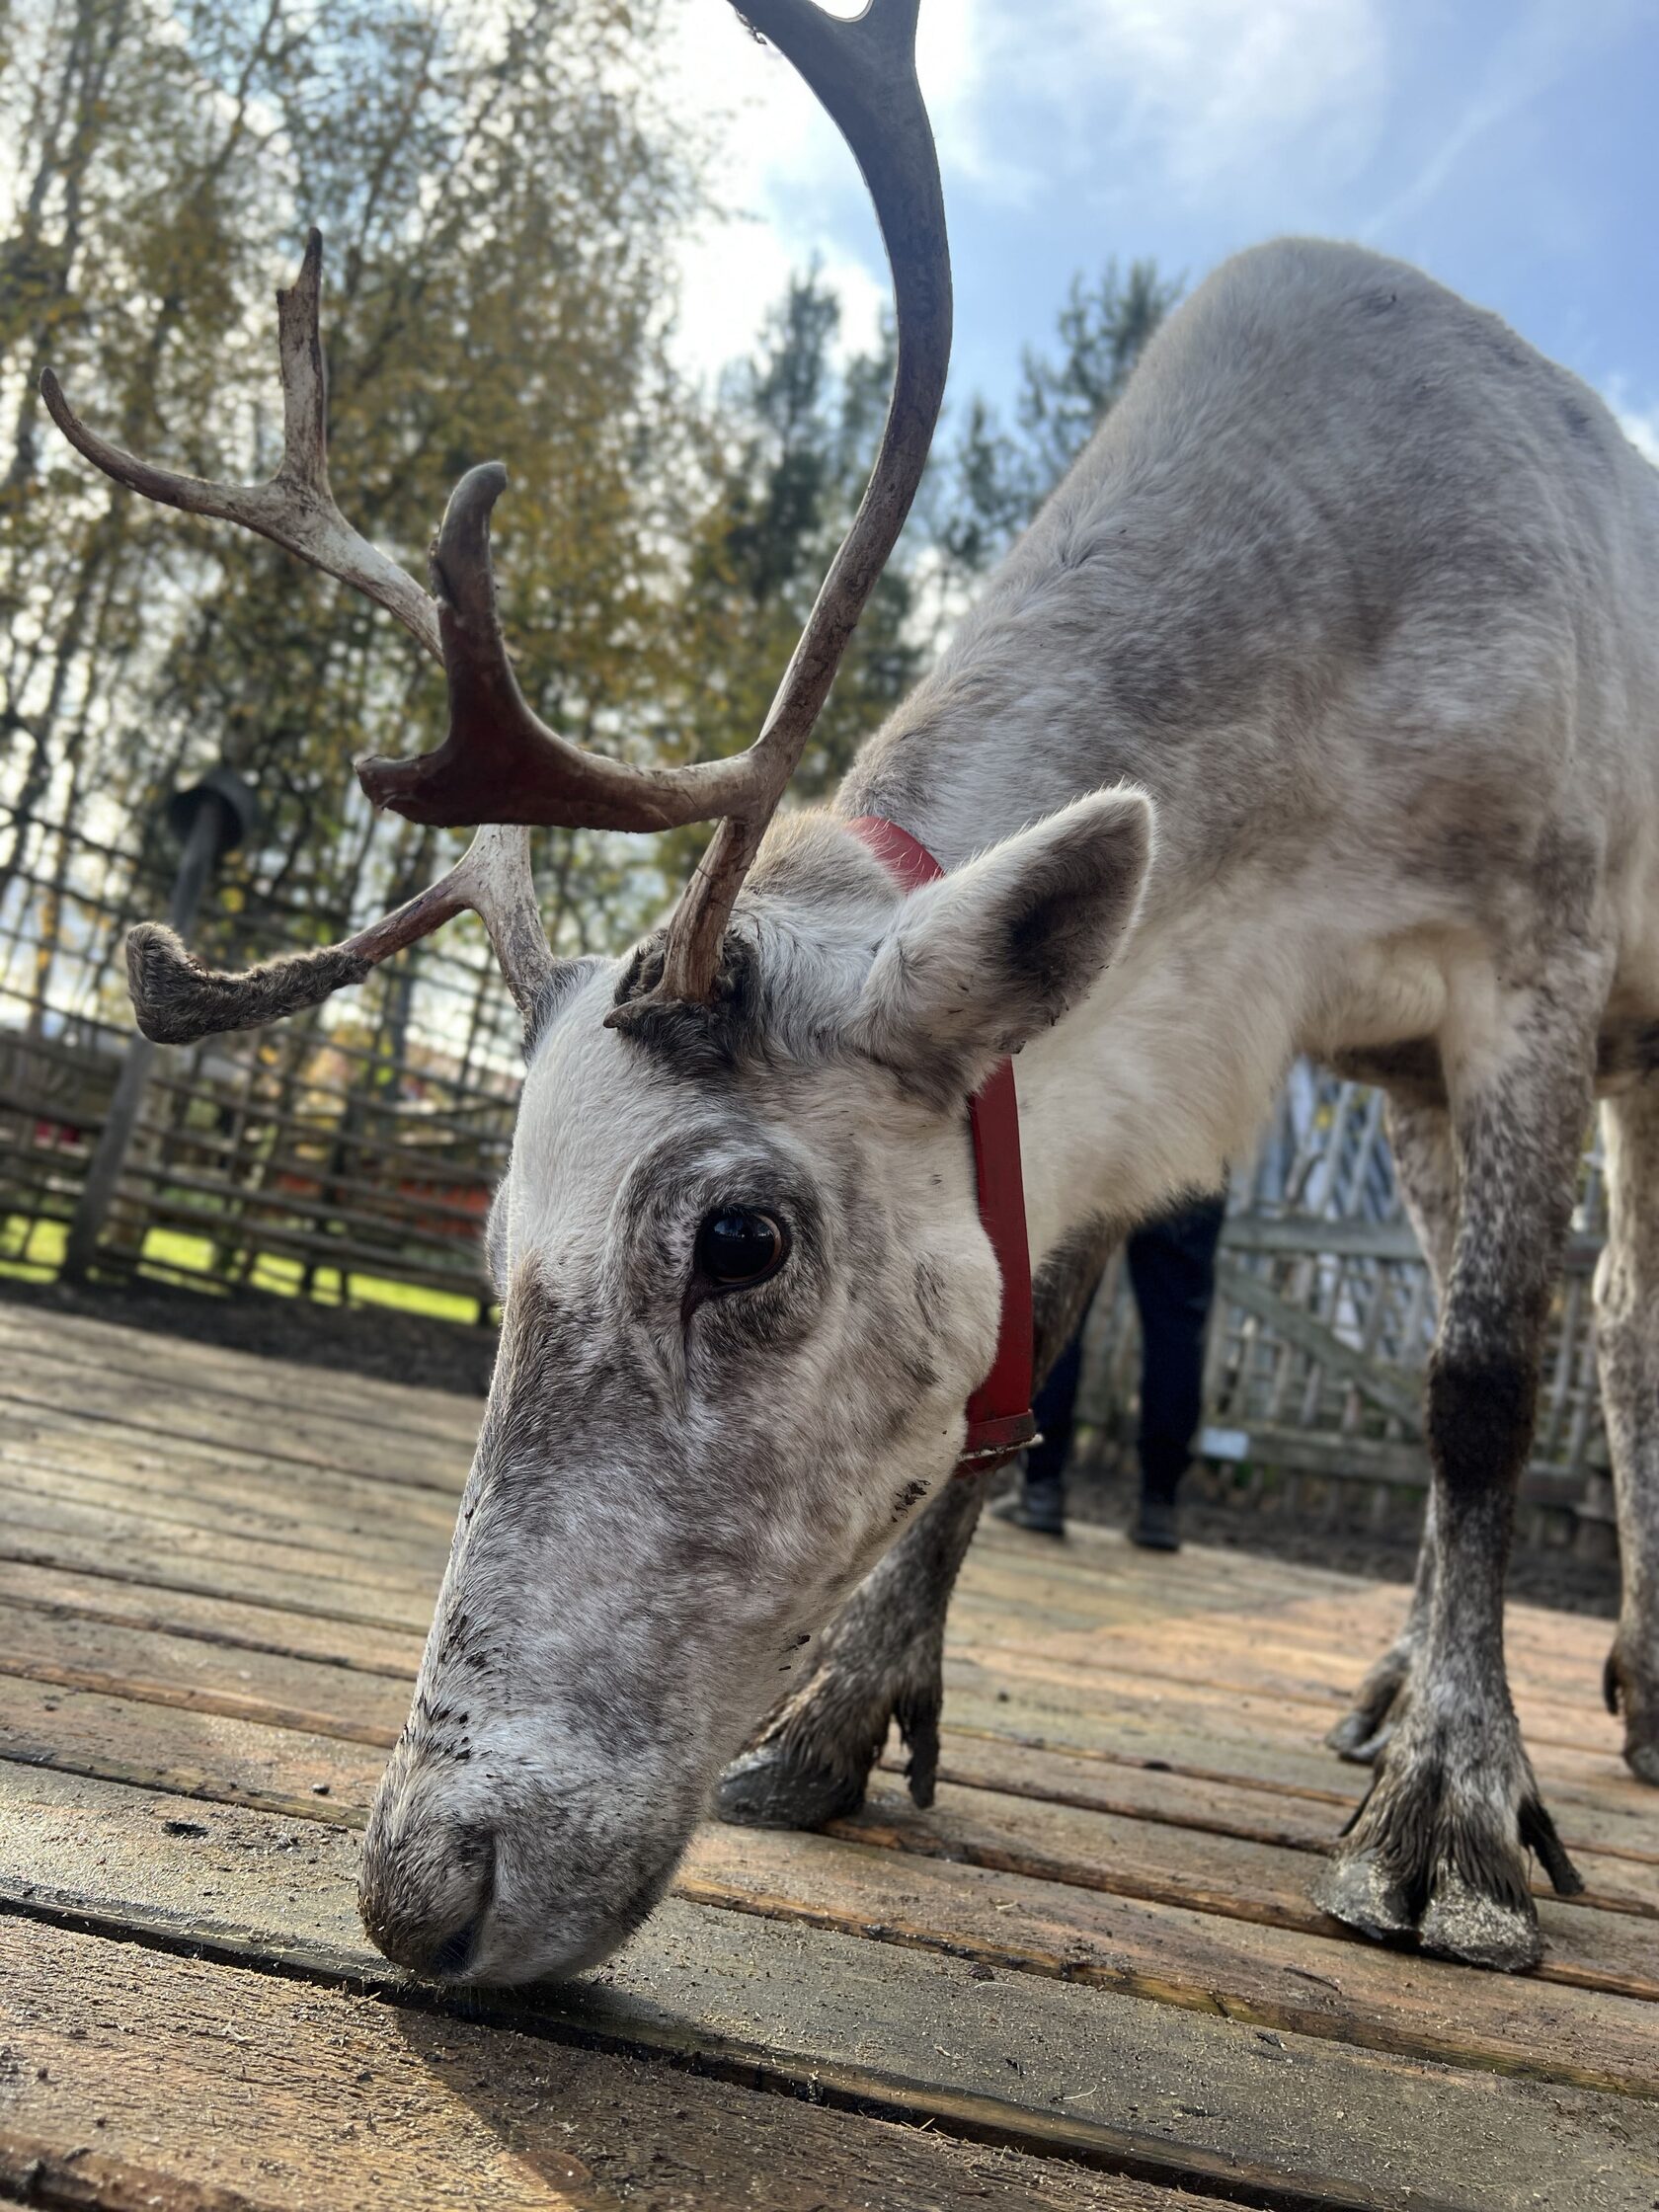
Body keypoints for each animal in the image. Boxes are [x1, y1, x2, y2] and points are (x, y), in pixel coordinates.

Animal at [43, 0, 1659, 1985]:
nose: (421, 1890)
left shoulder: (1533, 956)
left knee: (1594, 1333)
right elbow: (1028, 1347)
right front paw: (841, 1718)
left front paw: (1456, 1814)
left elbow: (1481, 1385)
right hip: (1418, 1090)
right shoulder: (1165, 1058)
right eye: (489, 1255)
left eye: (741, 1238)